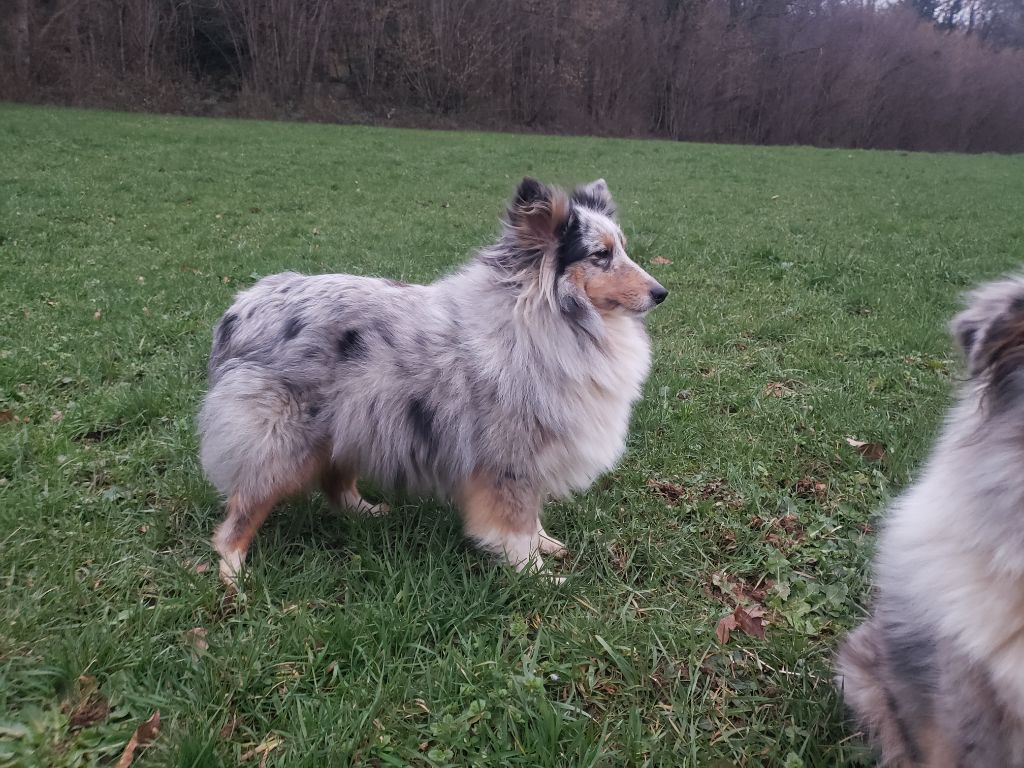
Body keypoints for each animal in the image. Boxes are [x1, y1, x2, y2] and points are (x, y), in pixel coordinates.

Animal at [197, 177, 671, 585]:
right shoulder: (509, 460)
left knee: (335, 483)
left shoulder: (530, 459)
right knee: (241, 512)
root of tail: (240, 307)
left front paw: (546, 546)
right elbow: (516, 525)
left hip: (352, 421)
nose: (661, 293)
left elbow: (531, 517)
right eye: (600, 255)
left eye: (622, 249)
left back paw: (368, 512)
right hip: (281, 441)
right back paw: (234, 575)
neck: (544, 321)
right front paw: (536, 576)